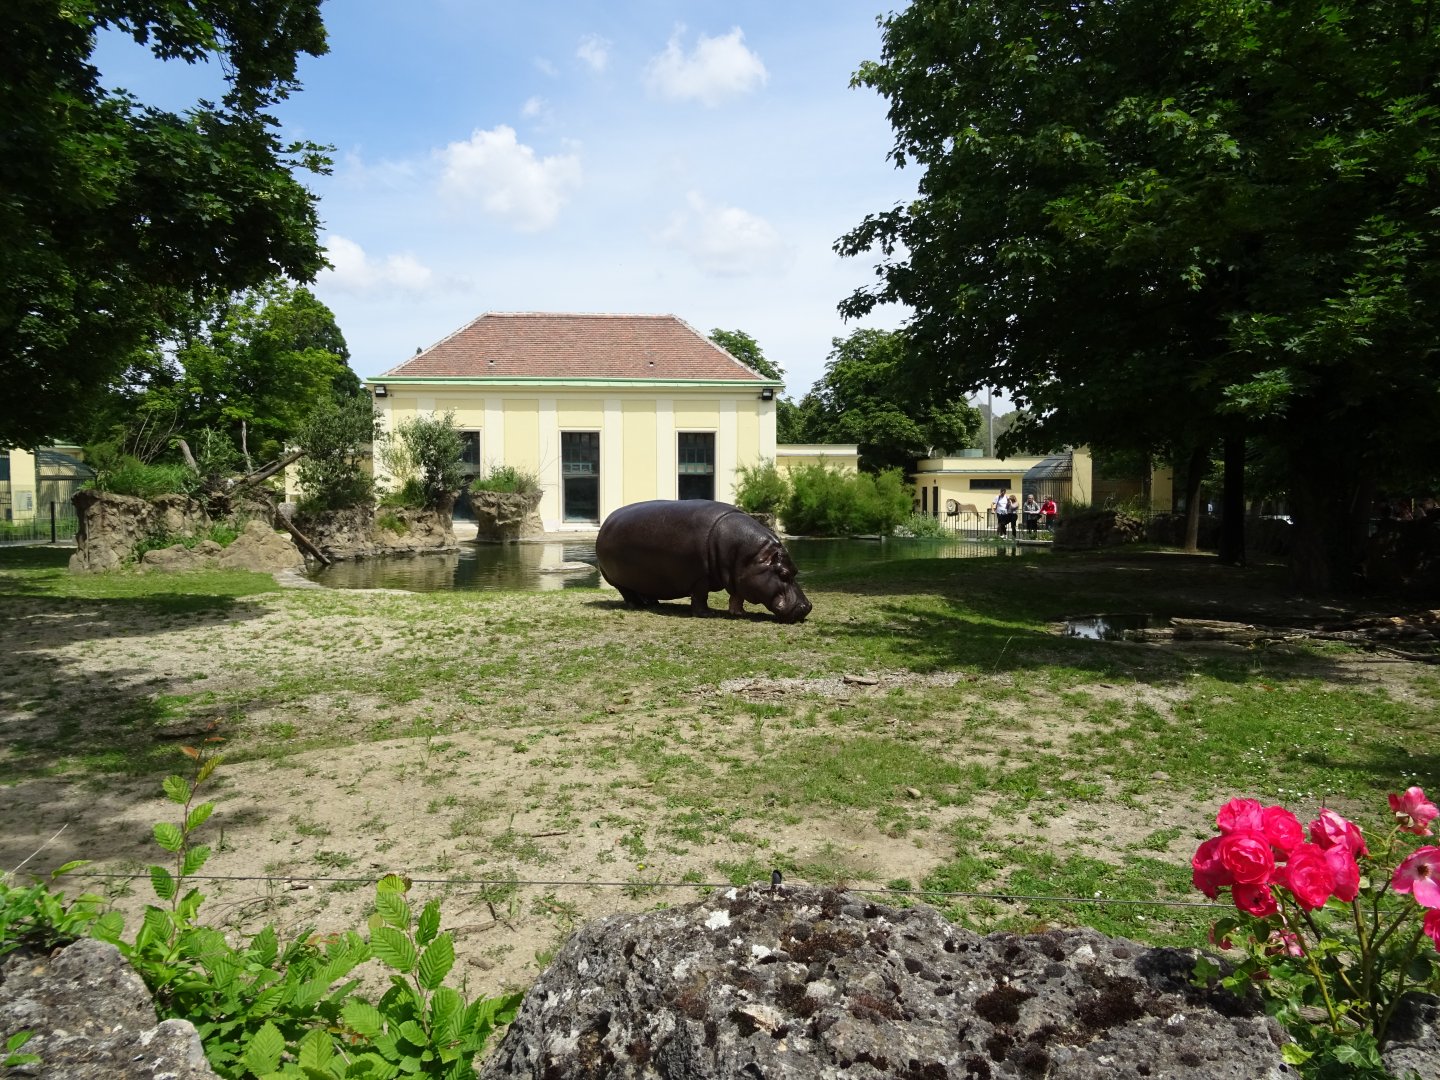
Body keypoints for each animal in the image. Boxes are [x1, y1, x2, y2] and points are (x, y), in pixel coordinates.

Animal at [596, 499, 812, 623]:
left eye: (796, 571)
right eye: (783, 573)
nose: (807, 606)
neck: (752, 556)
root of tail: (605, 523)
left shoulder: (737, 577)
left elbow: (737, 596)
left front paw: (739, 613)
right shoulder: (700, 578)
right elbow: (701, 597)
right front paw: (708, 614)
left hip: (644, 579)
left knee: (644, 591)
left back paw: (652, 603)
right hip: (617, 580)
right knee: (627, 593)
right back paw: (636, 605)